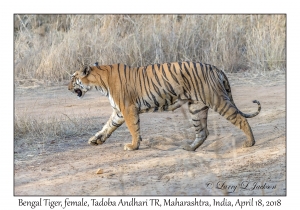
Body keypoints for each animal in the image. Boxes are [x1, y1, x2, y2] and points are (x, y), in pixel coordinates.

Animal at [68, 60, 260, 151]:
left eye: (73, 78)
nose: (67, 87)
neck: (100, 82)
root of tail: (216, 68)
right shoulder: (118, 112)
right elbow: (107, 126)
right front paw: (95, 140)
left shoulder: (128, 109)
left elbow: (133, 129)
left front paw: (133, 146)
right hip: (196, 108)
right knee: (203, 132)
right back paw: (189, 148)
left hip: (217, 100)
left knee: (240, 119)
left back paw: (250, 143)